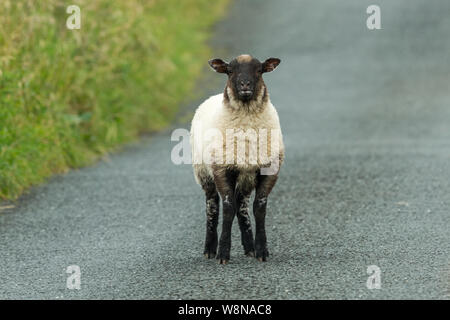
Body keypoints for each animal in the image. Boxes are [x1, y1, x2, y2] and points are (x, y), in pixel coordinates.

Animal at [191, 53, 284, 264]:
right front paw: (223, 253)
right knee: (212, 206)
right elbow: (227, 208)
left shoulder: (269, 170)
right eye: (230, 70)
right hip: (204, 173)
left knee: (242, 207)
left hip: (245, 177)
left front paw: (262, 250)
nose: (245, 84)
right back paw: (209, 249)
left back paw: (249, 247)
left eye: (259, 70)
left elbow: (259, 208)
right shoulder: (221, 169)